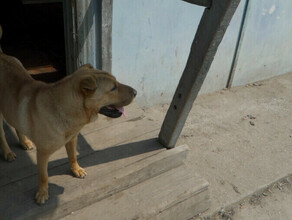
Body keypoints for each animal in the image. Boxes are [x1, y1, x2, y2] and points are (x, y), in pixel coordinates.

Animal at [0, 26, 137, 205]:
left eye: (117, 82)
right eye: (113, 88)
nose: (136, 92)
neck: (69, 110)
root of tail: (1, 54)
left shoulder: (72, 139)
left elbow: (72, 156)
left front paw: (76, 169)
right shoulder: (43, 153)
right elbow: (43, 176)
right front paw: (43, 193)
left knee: (17, 124)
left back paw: (24, 142)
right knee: (2, 134)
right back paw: (7, 152)